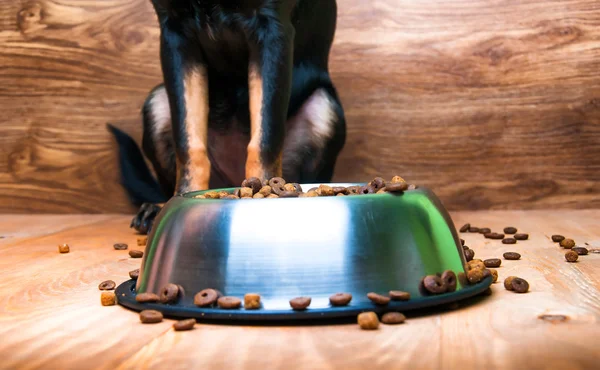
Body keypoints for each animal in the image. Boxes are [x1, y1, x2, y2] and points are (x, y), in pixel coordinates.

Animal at [109, 0, 344, 234]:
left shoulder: (272, 30)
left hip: (323, 105)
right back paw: (155, 210)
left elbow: (264, 141)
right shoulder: (175, 33)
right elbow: (188, 145)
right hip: (156, 101)